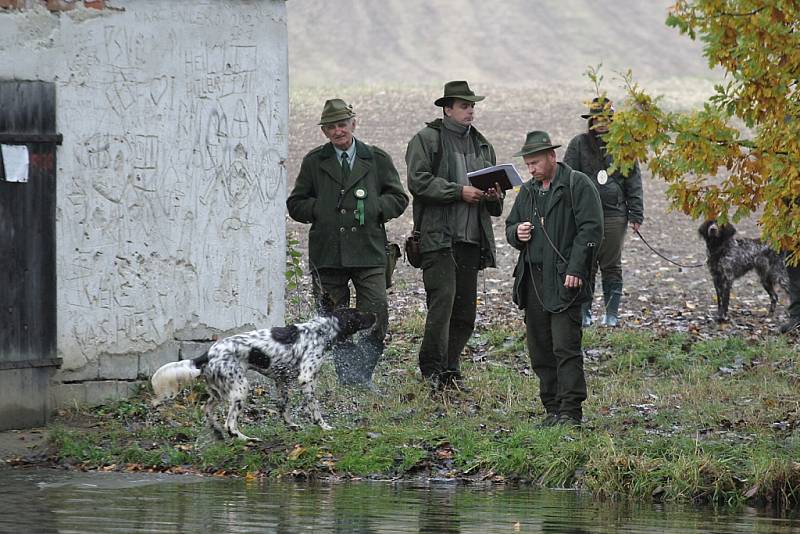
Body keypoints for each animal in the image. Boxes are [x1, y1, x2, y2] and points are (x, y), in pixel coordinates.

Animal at [152, 304, 376, 442]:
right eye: (360, 314)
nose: (375, 315)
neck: (321, 331)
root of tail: (208, 354)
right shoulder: (307, 378)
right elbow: (315, 408)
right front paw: (323, 426)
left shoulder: (282, 381)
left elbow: (283, 407)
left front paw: (291, 425)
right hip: (241, 388)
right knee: (230, 424)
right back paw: (246, 439)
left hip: (220, 392)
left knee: (207, 410)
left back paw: (217, 432)